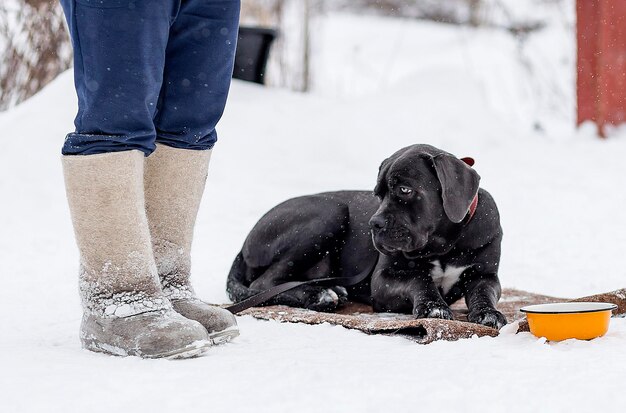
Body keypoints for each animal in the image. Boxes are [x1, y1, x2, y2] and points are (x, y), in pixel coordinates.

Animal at [227, 143, 504, 326]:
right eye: (378, 194)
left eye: (405, 190)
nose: (374, 223)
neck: (446, 244)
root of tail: (243, 245)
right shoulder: (383, 279)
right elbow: (419, 278)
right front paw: (433, 306)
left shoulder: (485, 276)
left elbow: (484, 292)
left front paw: (488, 313)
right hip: (330, 212)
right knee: (263, 285)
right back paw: (319, 295)